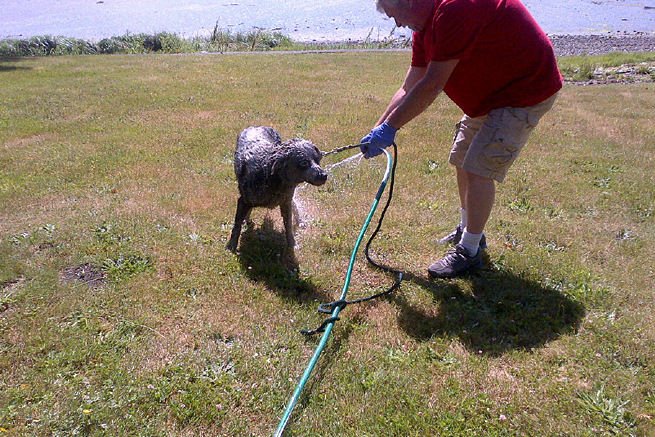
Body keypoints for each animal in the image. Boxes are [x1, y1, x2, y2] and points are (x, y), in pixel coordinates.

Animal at [227, 124, 328, 264]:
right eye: (303, 163)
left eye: (317, 160)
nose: (323, 175)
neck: (271, 177)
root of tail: (257, 125)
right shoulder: (244, 200)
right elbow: (236, 225)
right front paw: (231, 246)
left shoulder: (285, 201)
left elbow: (288, 225)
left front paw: (292, 244)